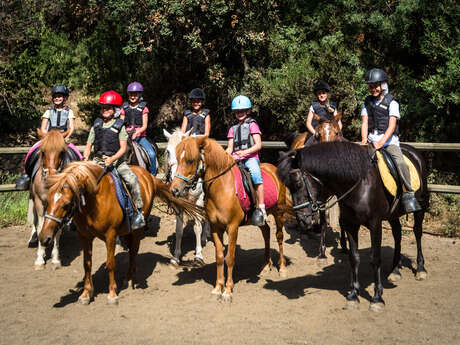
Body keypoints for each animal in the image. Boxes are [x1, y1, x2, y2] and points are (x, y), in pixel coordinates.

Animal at [28, 128, 77, 268]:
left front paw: (55, 258)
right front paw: (40, 258)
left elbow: (57, 230)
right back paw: (33, 238)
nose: (51, 175)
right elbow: (40, 226)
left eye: (61, 152)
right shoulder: (39, 202)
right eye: (43, 151)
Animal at [38, 161, 204, 304]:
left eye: (66, 204)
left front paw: (112, 294)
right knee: (131, 250)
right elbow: (87, 264)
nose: (44, 238)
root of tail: (149, 176)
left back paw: (130, 279)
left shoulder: (110, 235)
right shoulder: (84, 236)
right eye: (47, 201)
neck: (94, 201)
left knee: (134, 252)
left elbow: (111, 263)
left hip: (137, 230)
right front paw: (85, 294)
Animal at [164, 127, 208, 264]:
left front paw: (198, 255)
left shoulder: (199, 201)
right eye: (168, 151)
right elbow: (179, 230)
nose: (174, 181)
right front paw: (176, 256)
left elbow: (198, 227)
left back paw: (205, 237)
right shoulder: (178, 204)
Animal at [169, 136, 292, 300]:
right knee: (266, 232)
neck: (221, 188)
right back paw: (266, 265)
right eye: (177, 158)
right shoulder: (215, 228)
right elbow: (220, 256)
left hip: (279, 213)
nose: (174, 190)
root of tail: (273, 168)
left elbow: (230, 258)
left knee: (279, 236)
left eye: (190, 160)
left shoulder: (232, 227)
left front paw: (227, 290)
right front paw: (218, 288)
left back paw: (282, 268)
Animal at [276, 141, 432, 310]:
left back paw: (421, 269)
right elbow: (354, 257)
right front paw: (354, 295)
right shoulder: (351, 225)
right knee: (397, 234)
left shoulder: (375, 224)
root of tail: (413, 151)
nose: (303, 220)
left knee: (417, 233)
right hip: (393, 214)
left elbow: (375, 258)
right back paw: (395, 271)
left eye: (298, 183)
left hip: (421, 206)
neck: (359, 184)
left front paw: (377, 298)